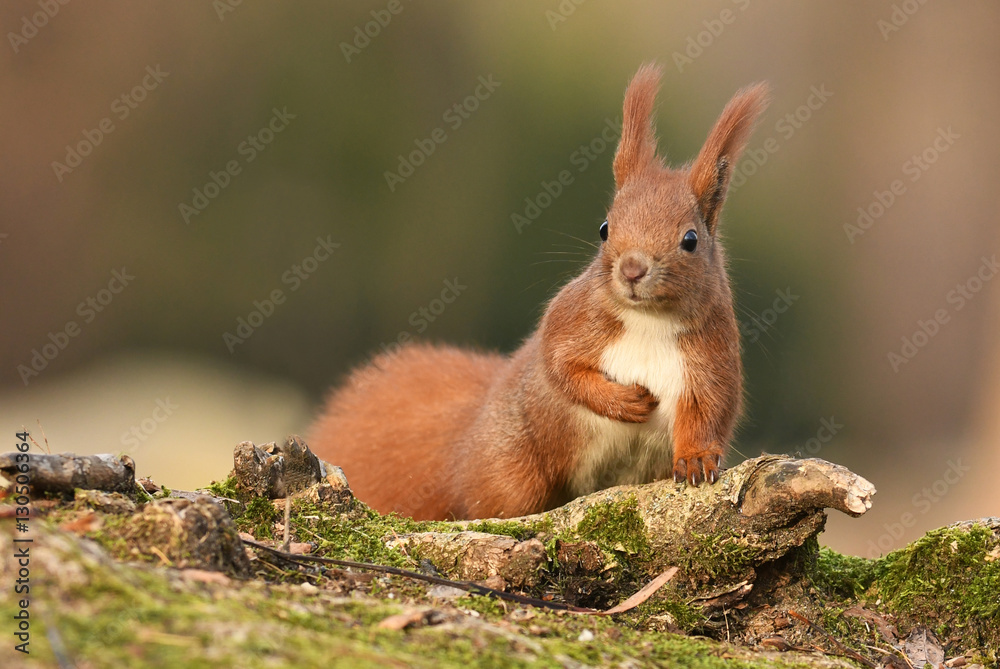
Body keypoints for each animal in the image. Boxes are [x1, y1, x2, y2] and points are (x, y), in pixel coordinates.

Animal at [308, 62, 768, 520]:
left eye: (690, 240)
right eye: (604, 228)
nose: (632, 269)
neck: (648, 320)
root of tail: (466, 439)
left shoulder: (711, 356)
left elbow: (707, 410)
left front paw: (696, 459)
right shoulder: (572, 320)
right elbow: (561, 368)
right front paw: (624, 401)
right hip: (513, 469)